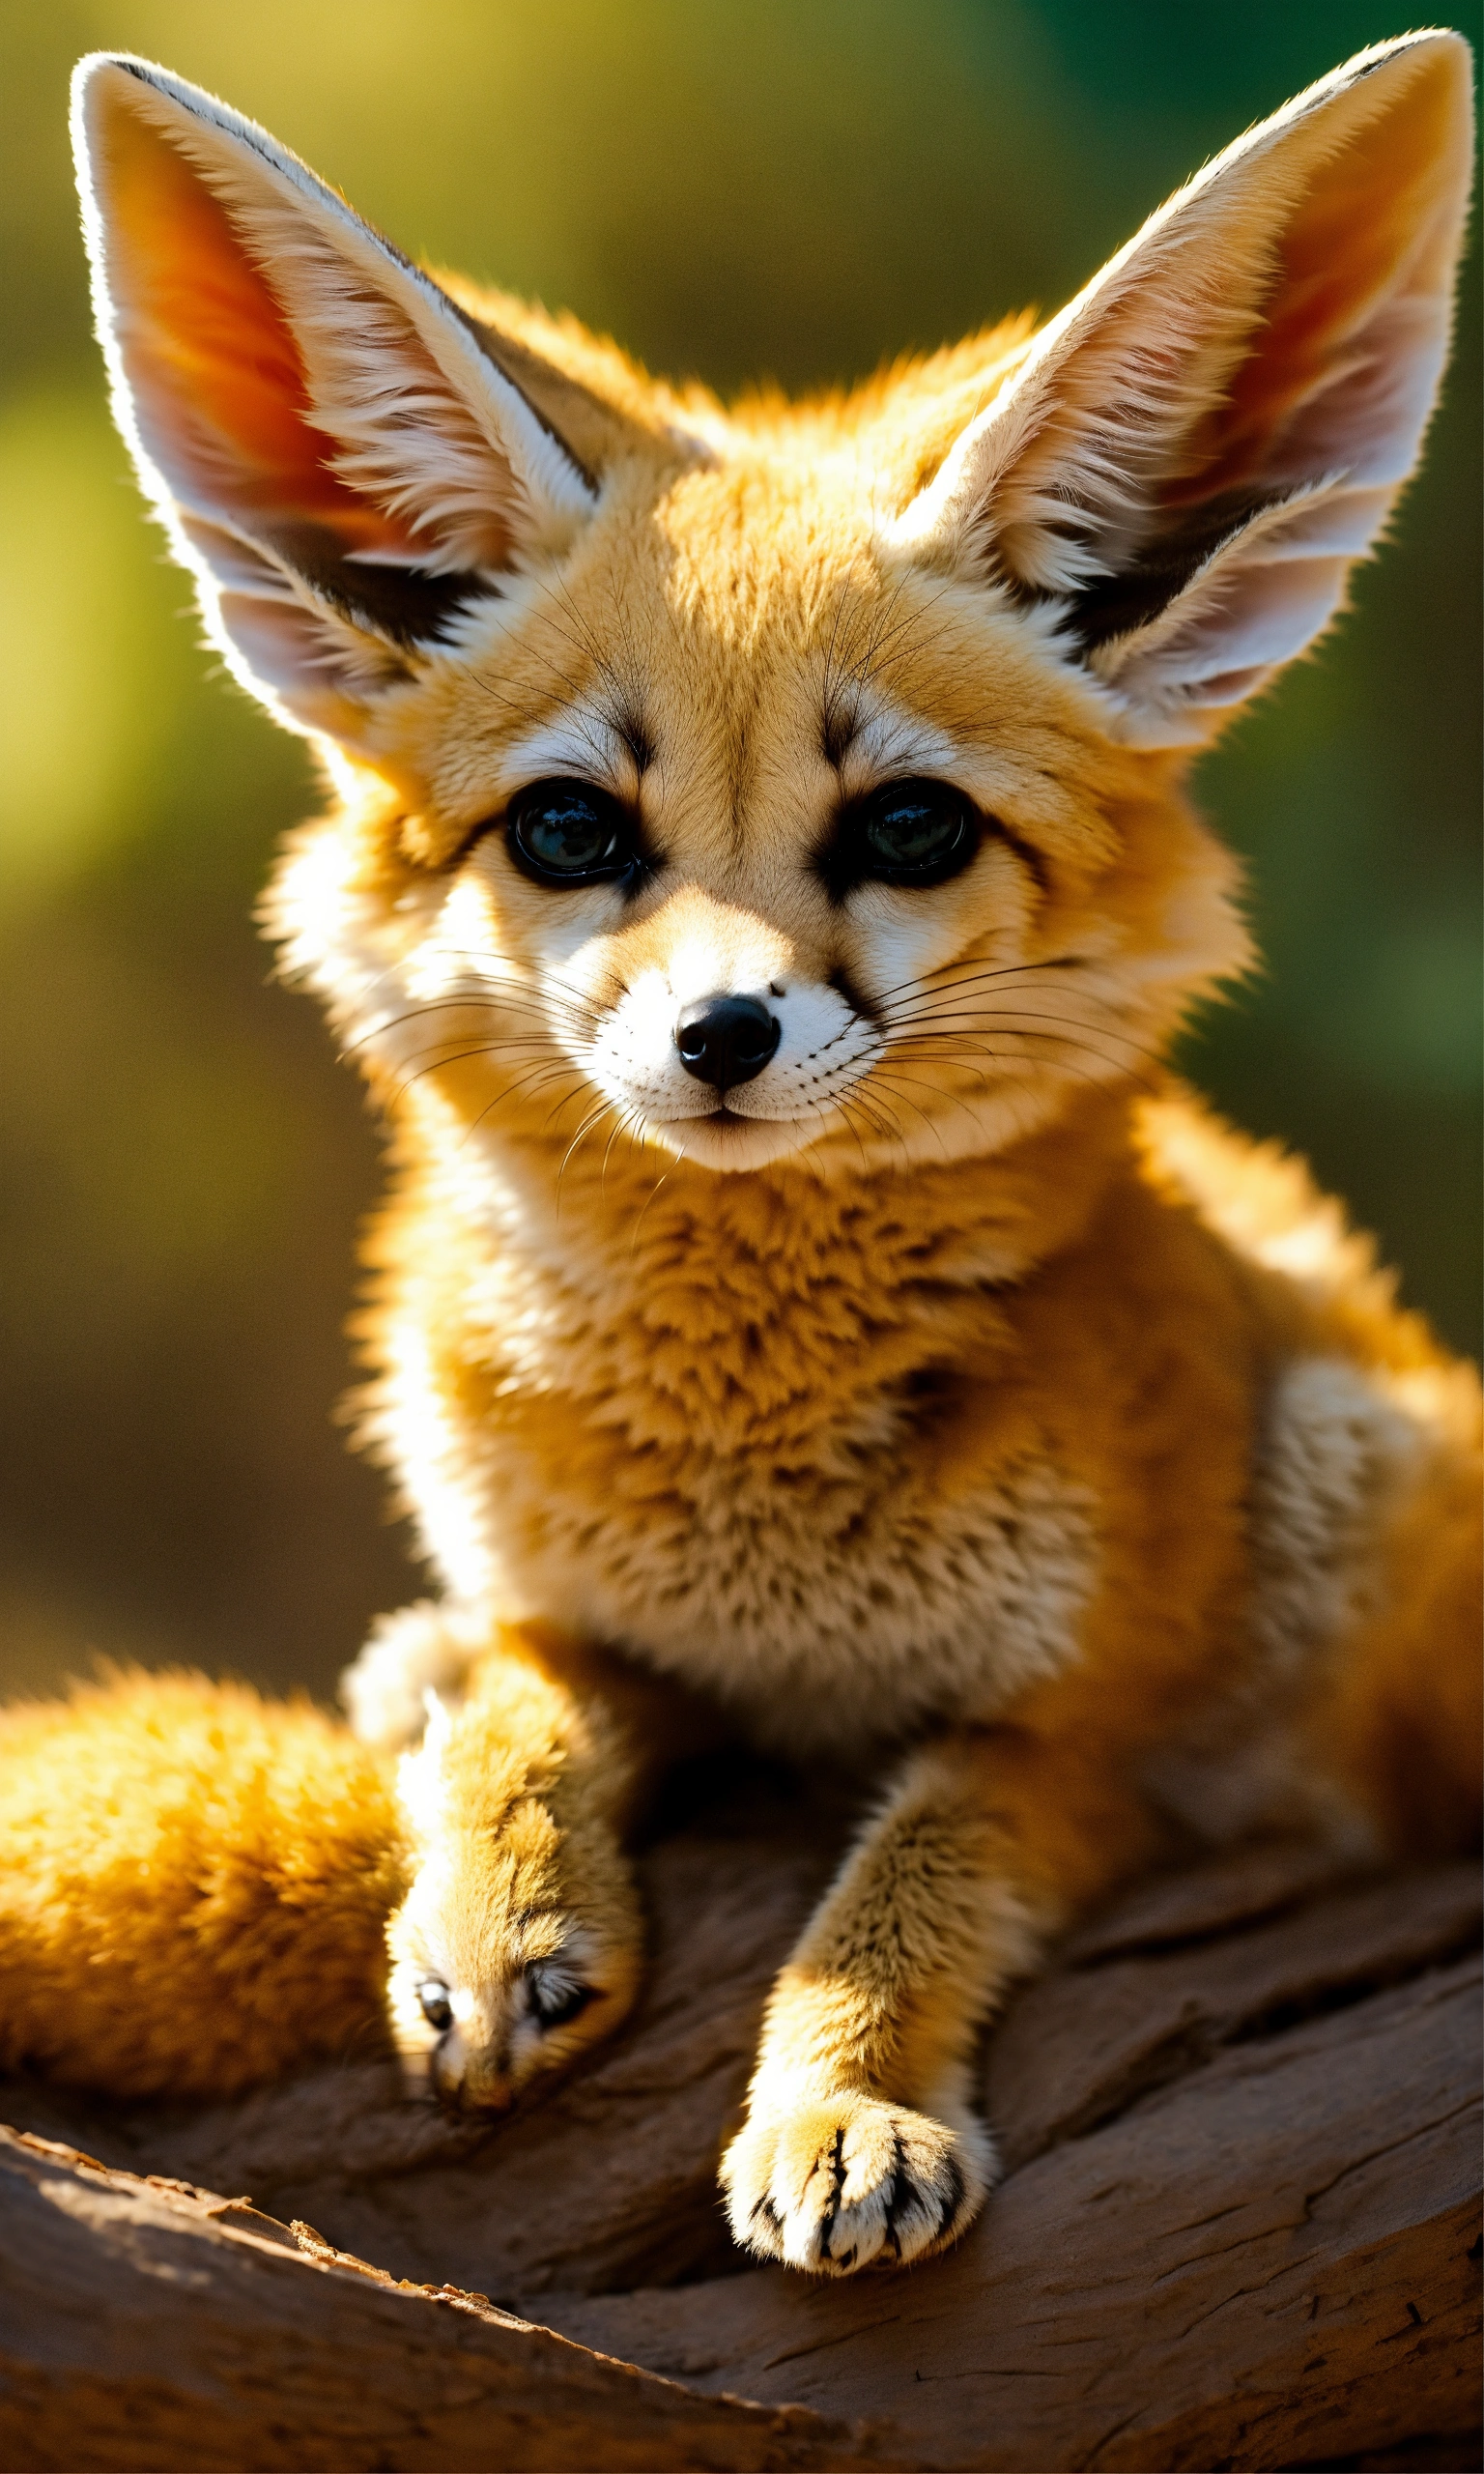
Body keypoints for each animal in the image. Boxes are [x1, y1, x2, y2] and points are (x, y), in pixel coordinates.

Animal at [65, 33, 1480, 2275]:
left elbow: (902, 1881)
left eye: (906, 828)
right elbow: (532, 1698)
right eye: (573, 831)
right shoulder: (599, 1615)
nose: (719, 1035)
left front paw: (841, 2103)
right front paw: (497, 1910)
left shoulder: (1084, 1726)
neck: (758, 1530)